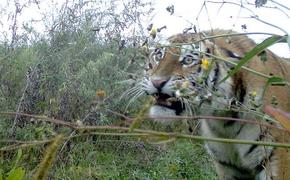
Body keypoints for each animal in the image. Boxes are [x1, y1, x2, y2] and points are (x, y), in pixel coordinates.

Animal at [140, 29, 290, 179]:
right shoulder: (226, 166)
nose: (157, 82)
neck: (226, 122)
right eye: (158, 56)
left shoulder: (278, 158)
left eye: (188, 60)